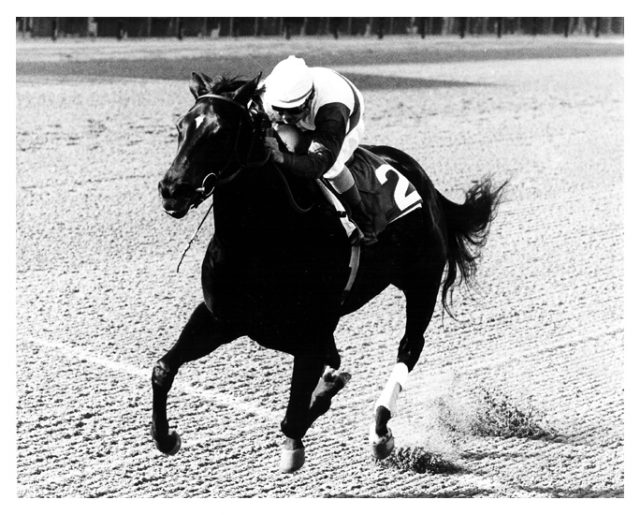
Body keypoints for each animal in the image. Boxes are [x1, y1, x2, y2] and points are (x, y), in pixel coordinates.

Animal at [154, 72, 504, 476]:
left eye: (221, 133)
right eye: (181, 127)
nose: (172, 189)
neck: (262, 238)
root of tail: (423, 180)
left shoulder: (311, 334)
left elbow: (293, 418)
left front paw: (308, 426)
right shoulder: (219, 317)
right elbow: (163, 369)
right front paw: (166, 437)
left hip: (422, 283)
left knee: (409, 347)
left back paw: (380, 432)